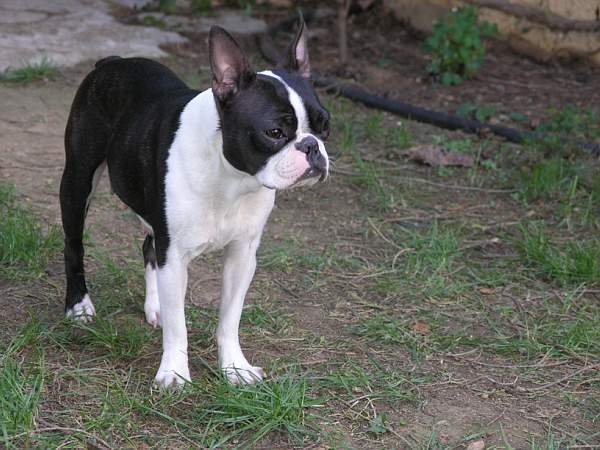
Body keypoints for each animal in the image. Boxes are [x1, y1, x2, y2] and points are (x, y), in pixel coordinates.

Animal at [59, 19, 330, 387]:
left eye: (325, 125)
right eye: (274, 132)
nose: (312, 147)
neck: (232, 177)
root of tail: (112, 61)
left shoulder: (241, 256)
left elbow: (230, 318)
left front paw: (235, 368)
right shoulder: (174, 256)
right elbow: (179, 326)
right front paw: (174, 372)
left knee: (148, 247)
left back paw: (155, 306)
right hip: (78, 181)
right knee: (74, 245)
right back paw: (78, 305)